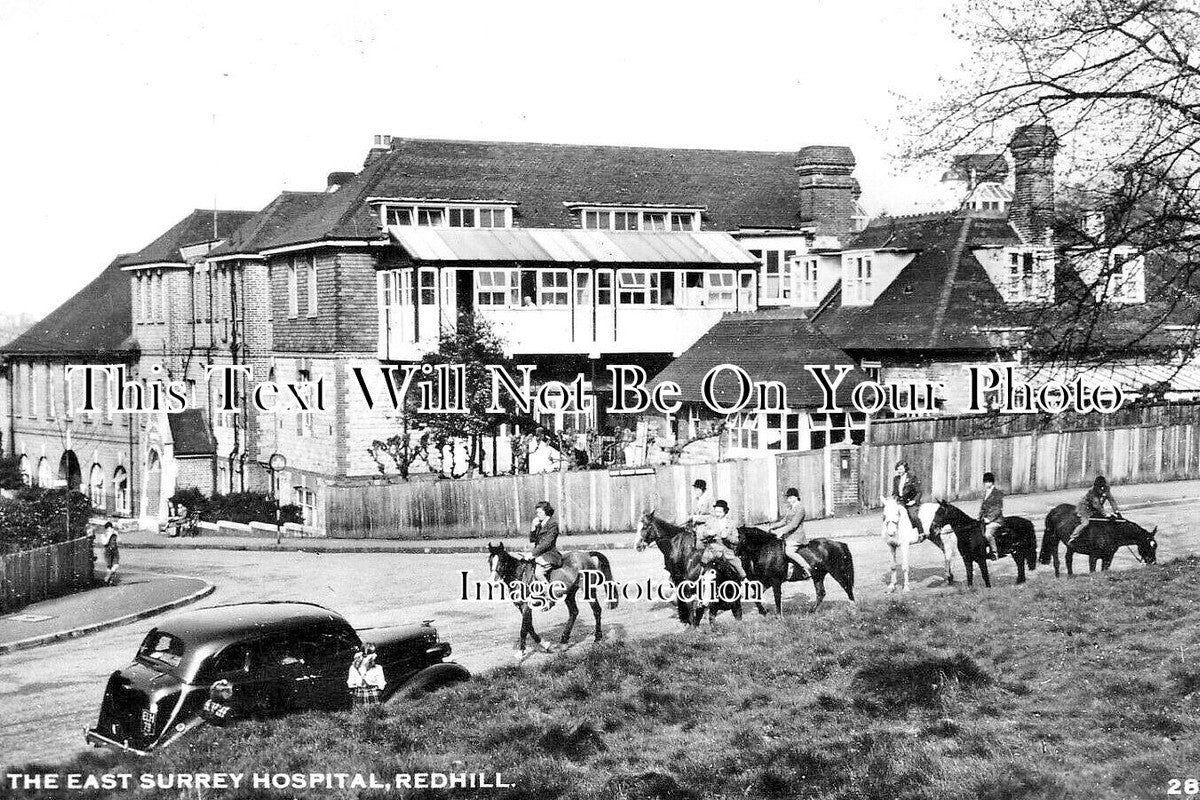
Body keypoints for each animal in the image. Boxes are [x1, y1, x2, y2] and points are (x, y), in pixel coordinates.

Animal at [487, 542, 619, 662]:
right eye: (490, 561)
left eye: (503, 561)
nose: (493, 582)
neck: (521, 575)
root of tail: (586, 554)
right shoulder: (521, 607)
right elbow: (529, 626)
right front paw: (544, 644)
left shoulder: (526, 607)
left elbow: (524, 629)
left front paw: (521, 652)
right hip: (569, 594)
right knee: (574, 612)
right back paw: (564, 641)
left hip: (589, 591)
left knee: (596, 610)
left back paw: (597, 639)